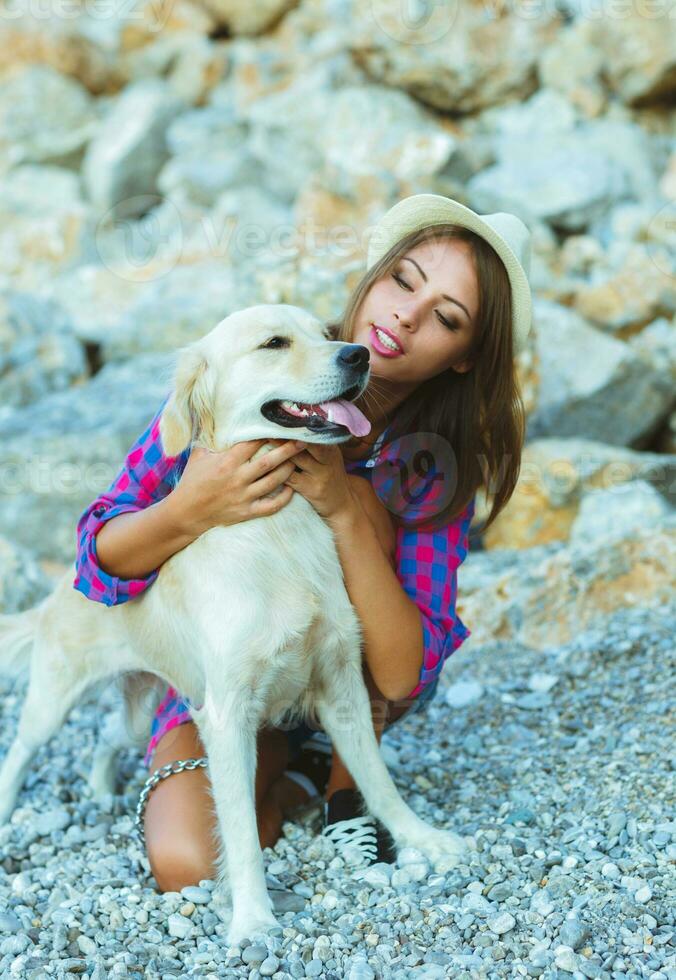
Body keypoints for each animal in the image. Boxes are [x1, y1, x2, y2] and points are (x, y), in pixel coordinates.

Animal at [0, 304, 468, 940]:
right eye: (274, 344)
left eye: (326, 334)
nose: (359, 355)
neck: (279, 531)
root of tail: (63, 583)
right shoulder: (226, 716)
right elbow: (241, 830)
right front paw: (251, 920)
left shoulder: (343, 687)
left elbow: (380, 782)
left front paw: (427, 839)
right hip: (55, 697)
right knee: (21, 750)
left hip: (143, 704)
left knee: (106, 737)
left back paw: (99, 789)